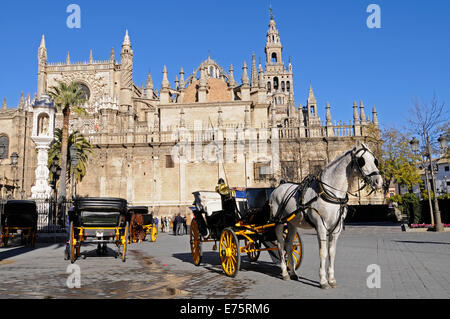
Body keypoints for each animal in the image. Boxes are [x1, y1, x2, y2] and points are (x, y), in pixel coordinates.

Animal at [268, 144, 382, 288]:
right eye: (362, 161)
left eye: (375, 160)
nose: (379, 181)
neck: (330, 193)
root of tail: (279, 187)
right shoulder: (321, 226)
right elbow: (323, 252)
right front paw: (323, 281)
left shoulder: (336, 228)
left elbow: (331, 252)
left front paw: (331, 279)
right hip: (278, 223)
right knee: (280, 245)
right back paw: (284, 273)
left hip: (292, 223)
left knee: (288, 245)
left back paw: (293, 272)